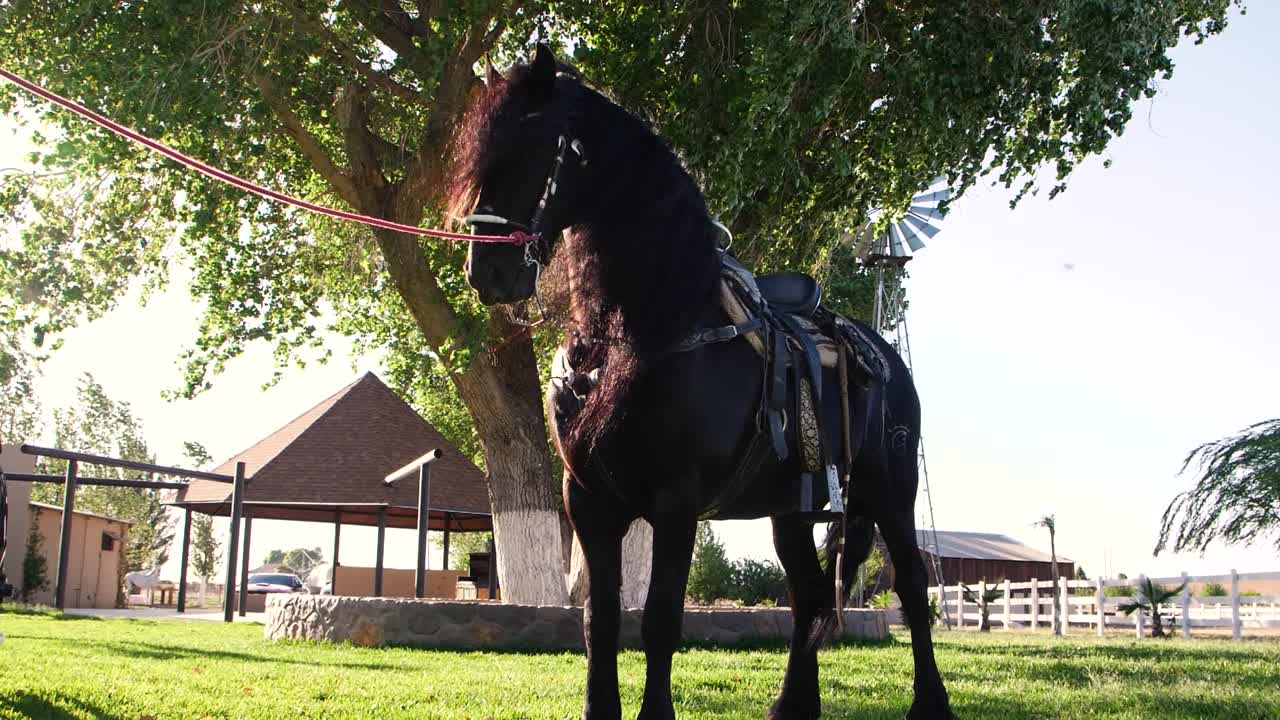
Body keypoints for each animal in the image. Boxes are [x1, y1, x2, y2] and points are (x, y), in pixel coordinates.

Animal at [451, 44, 953, 720]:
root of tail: (885, 360)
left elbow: (660, 620)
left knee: (913, 587)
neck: (637, 334)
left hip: (890, 494)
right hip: (792, 514)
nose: (489, 271)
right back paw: (793, 705)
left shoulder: (676, 502)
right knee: (810, 597)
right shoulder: (587, 501)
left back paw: (930, 703)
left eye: (536, 147)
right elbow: (598, 621)